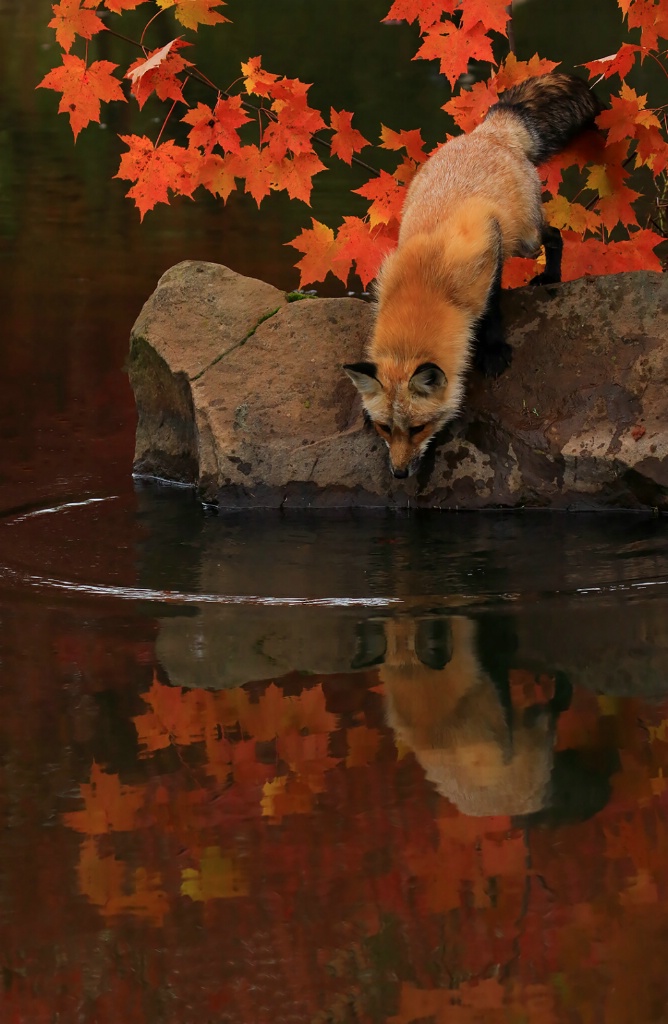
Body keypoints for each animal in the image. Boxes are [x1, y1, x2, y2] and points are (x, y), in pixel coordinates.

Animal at [344, 72, 598, 479]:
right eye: (386, 428)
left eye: (419, 428)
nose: (399, 473)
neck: (423, 285)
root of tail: (487, 132)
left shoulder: (488, 255)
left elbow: (492, 312)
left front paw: (493, 352)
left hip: (525, 239)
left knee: (555, 237)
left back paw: (551, 276)